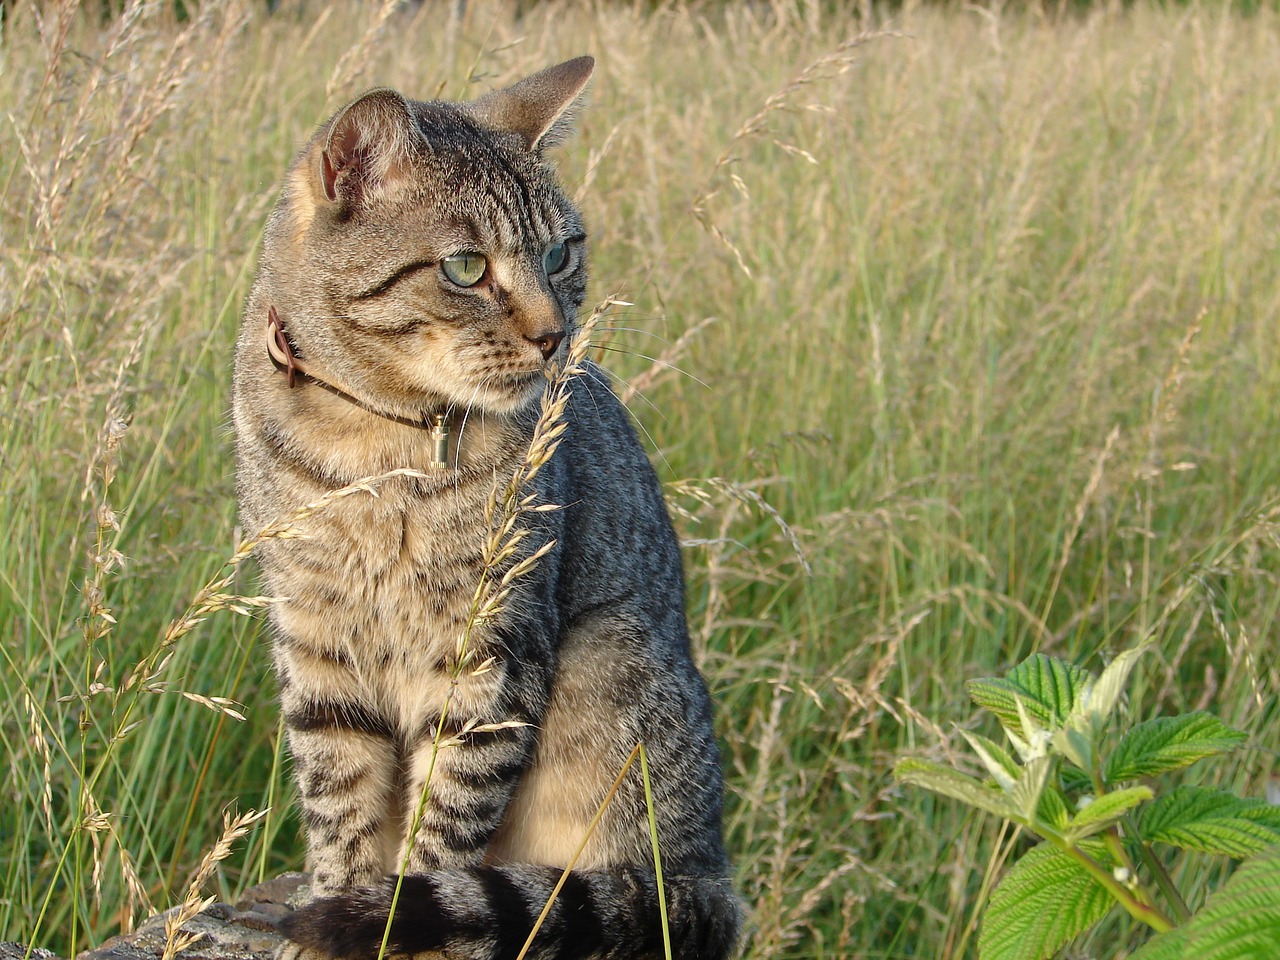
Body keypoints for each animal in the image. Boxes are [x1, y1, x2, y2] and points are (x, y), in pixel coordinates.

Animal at [232, 58, 742, 960]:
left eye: (560, 252)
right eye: (466, 268)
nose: (553, 334)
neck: (381, 446)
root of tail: (713, 875)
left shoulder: (490, 656)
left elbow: (442, 828)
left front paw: (390, 923)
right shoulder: (316, 639)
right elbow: (339, 804)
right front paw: (332, 907)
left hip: (616, 682)